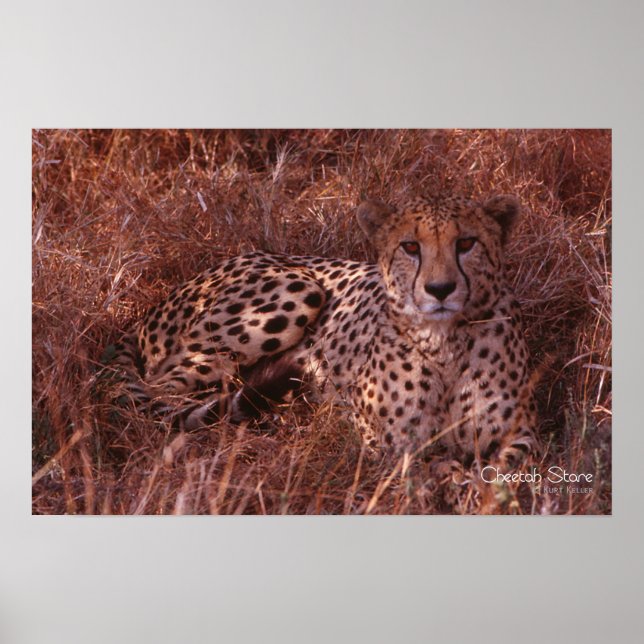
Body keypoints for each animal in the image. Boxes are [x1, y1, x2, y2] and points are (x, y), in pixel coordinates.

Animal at [108, 193, 538, 467]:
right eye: (411, 247)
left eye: (466, 243)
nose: (440, 289)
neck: (444, 342)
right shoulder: (385, 442)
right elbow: (431, 467)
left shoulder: (523, 435)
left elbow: (503, 470)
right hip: (298, 290)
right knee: (160, 390)